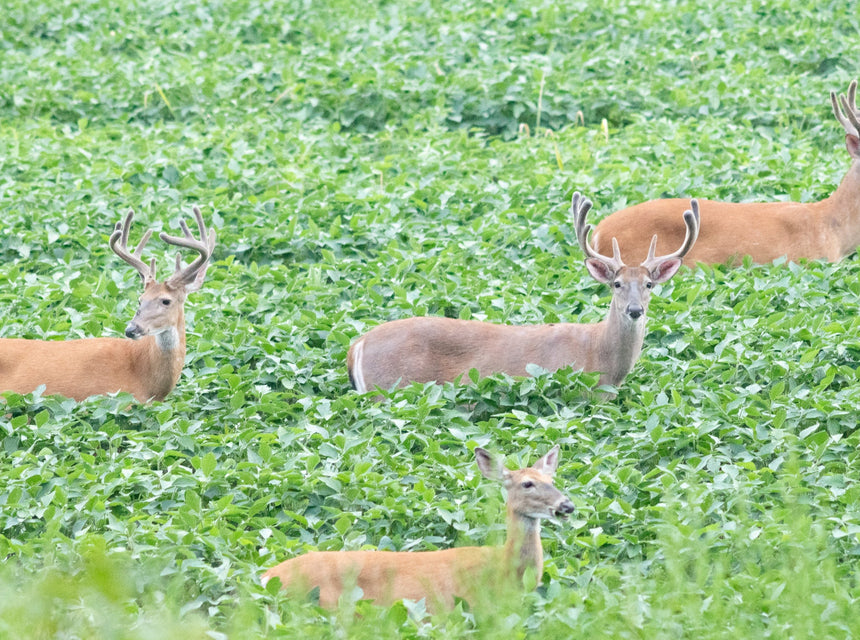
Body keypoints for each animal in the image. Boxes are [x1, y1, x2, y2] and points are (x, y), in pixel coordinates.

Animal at [261, 445, 574, 611]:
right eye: (527, 484)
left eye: (552, 480)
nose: (567, 505)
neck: (504, 568)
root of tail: (265, 577)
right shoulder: (465, 606)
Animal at [346, 192, 699, 395]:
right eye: (616, 284)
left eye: (649, 285)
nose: (635, 310)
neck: (600, 358)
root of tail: (356, 345)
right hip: (390, 388)